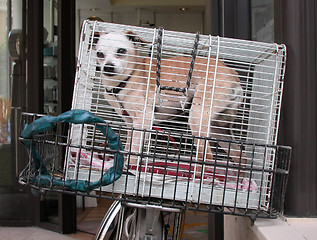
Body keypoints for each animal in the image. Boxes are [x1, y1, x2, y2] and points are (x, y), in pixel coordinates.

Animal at [93, 31, 244, 174]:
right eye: (99, 54)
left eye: (121, 51)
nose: (108, 67)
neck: (124, 81)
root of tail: (233, 73)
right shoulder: (131, 124)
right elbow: (128, 147)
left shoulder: (143, 120)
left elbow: (134, 151)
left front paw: (129, 168)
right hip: (218, 128)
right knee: (240, 156)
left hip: (197, 117)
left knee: (206, 157)